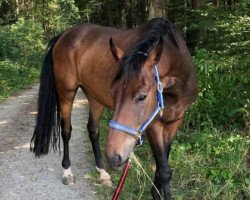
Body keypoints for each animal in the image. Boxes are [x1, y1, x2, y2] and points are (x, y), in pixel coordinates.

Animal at [29, 18, 197, 199]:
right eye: (112, 92)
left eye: (142, 96)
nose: (113, 156)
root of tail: (63, 35)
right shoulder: (153, 125)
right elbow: (164, 169)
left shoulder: (175, 121)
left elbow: (162, 166)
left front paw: (155, 192)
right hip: (66, 92)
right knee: (66, 130)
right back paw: (67, 172)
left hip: (94, 96)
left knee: (93, 130)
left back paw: (103, 173)